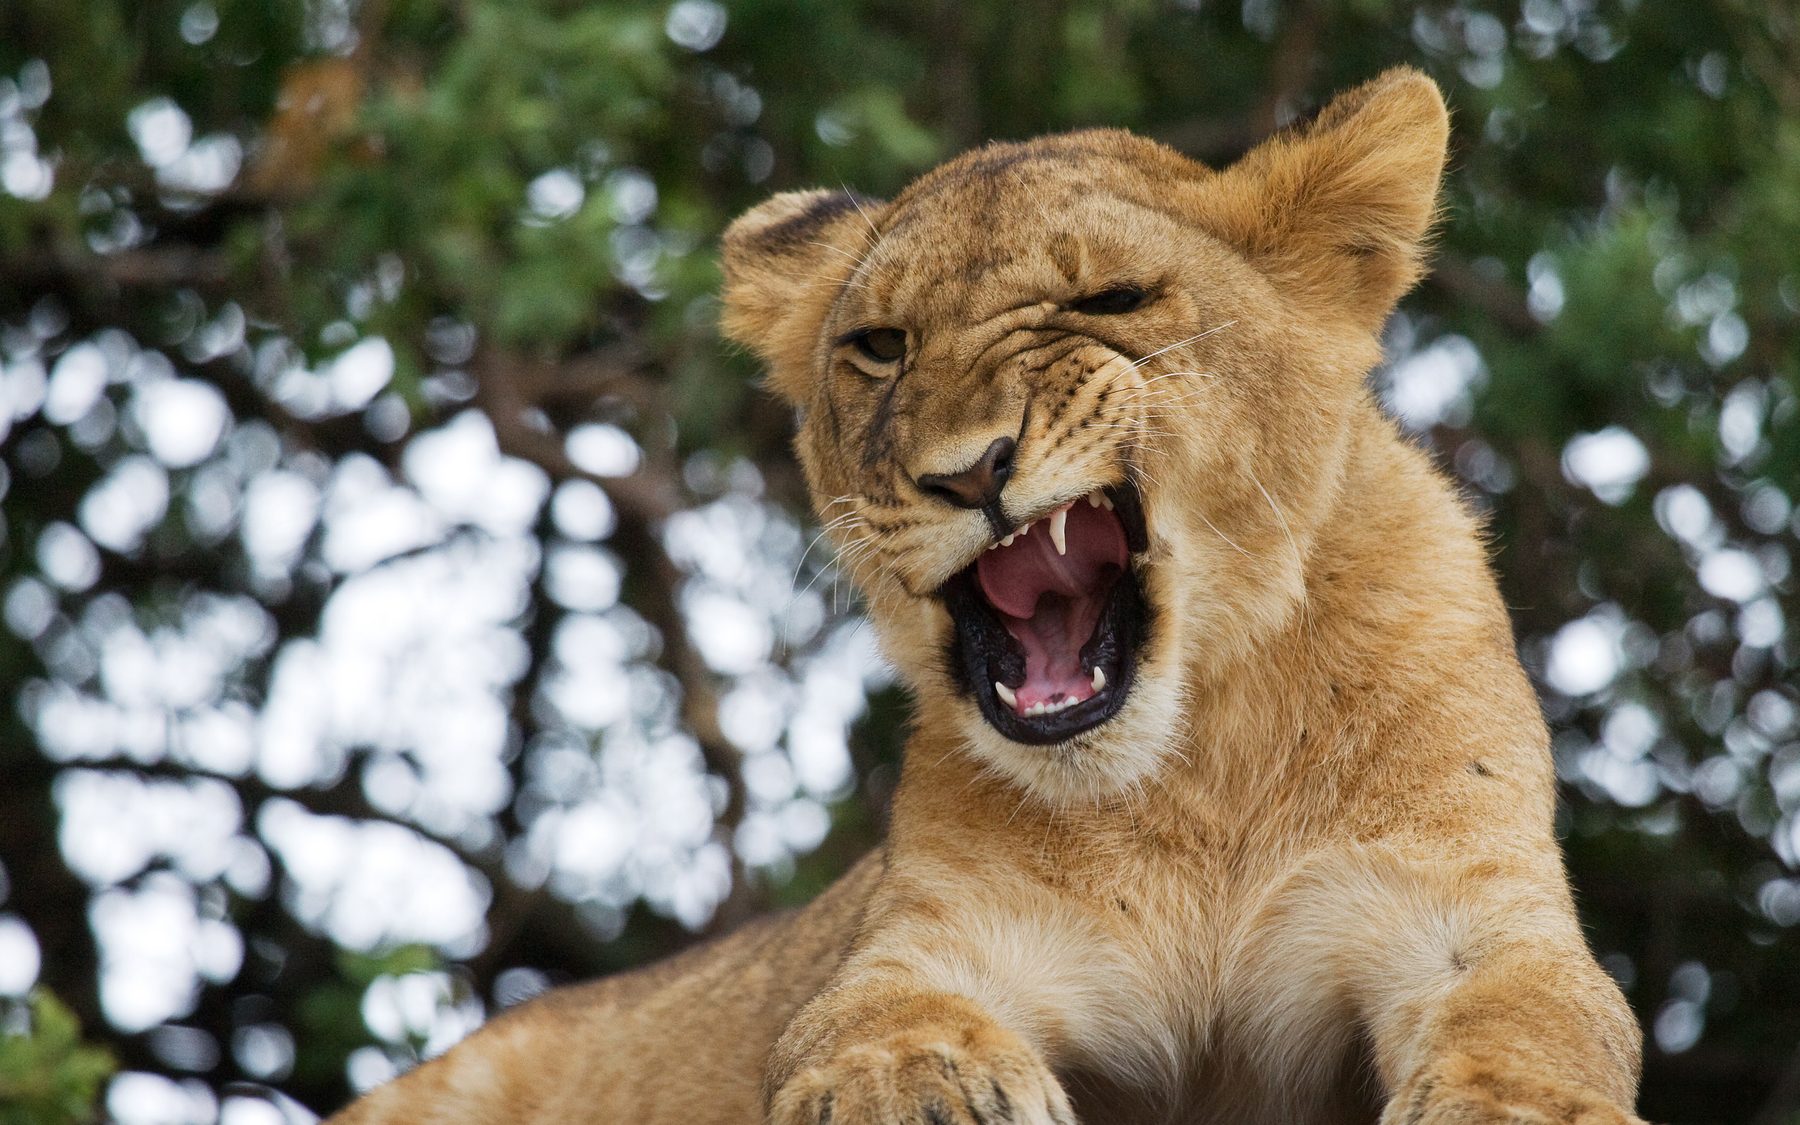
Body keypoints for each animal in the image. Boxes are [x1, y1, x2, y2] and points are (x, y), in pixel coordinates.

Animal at [330, 68, 1646, 1124]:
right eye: (879, 346)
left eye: (1113, 302)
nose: (968, 472)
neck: (1195, 771)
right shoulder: (931, 940)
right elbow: (863, 1020)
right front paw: (911, 1087)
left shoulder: (1468, 910)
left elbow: (1538, 1016)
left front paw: (1520, 1108)